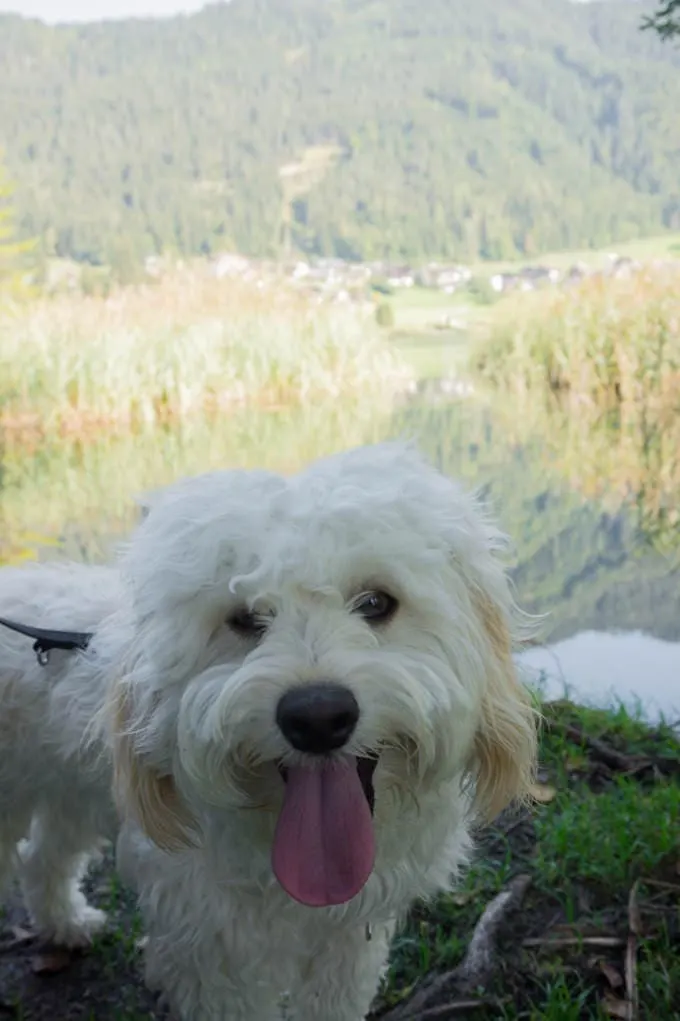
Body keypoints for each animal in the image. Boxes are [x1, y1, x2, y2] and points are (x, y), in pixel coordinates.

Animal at [1, 443, 539, 1016]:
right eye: (244, 618)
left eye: (376, 602)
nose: (317, 718)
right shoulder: (213, 948)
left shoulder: (347, 944)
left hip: (68, 789)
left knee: (42, 857)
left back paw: (66, 923)